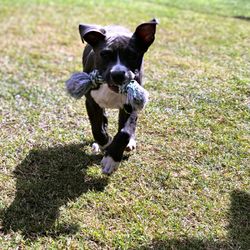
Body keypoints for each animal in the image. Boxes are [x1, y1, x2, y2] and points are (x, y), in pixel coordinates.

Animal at [78, 18, 157, 174]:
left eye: (132, 55)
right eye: (104, 54)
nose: (118, 74)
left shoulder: (132, 104)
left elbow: (125, 131)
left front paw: (112, 158)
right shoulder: (91, 102)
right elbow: (97, 128)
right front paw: (105, 142)